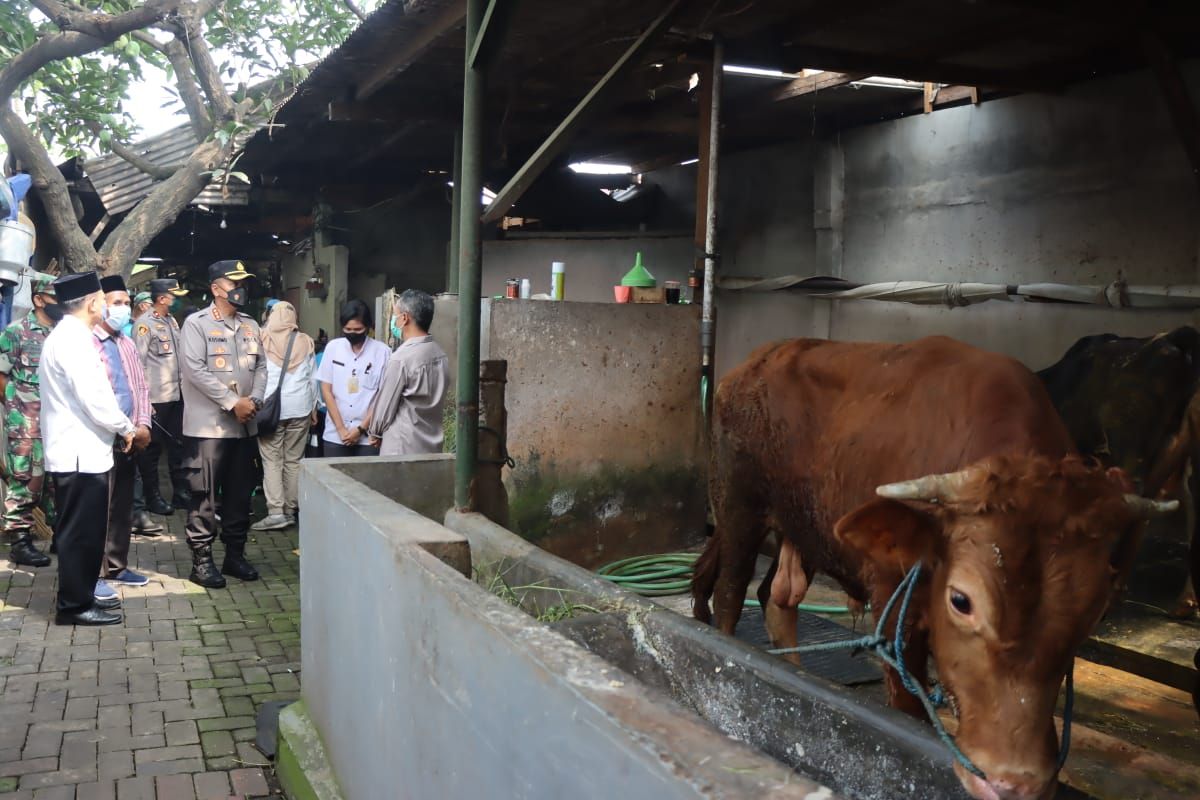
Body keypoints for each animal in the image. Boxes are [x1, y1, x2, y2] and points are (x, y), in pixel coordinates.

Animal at [696, 335, 1171, 800]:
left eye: (1094, 611)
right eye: (961, 600)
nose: (1015, 783)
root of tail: (752, 363)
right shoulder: (891, 597)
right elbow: (908, 703)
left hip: (803, 525)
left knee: (778, 598)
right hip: (739, 510)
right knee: (731, 593)